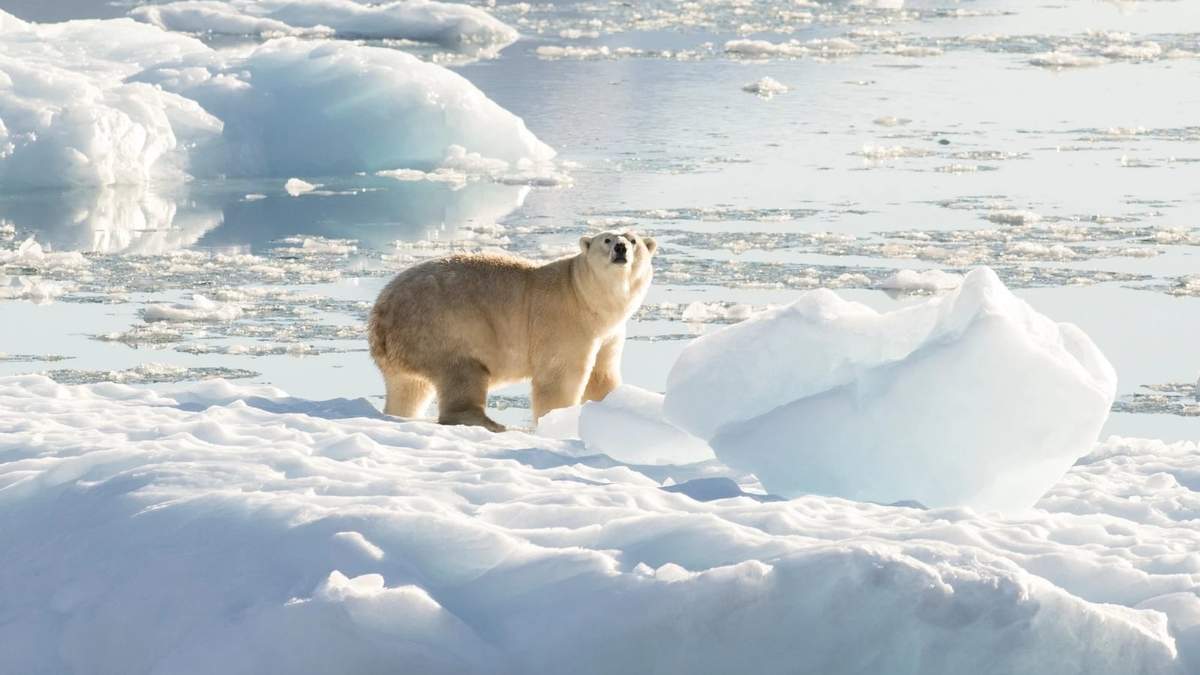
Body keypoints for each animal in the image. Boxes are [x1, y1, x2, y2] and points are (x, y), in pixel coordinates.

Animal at [368, 230, 656, 432]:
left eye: (633, 240)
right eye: (606, 239)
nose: (620, 248)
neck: (585, 296)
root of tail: (381, 312)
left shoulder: (610, 333)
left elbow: (601, 375)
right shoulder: (564, 321)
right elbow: (560, 377)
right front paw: (558, 420)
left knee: (409, 388)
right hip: (443, 325)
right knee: (463, 372)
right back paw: (490, 423)